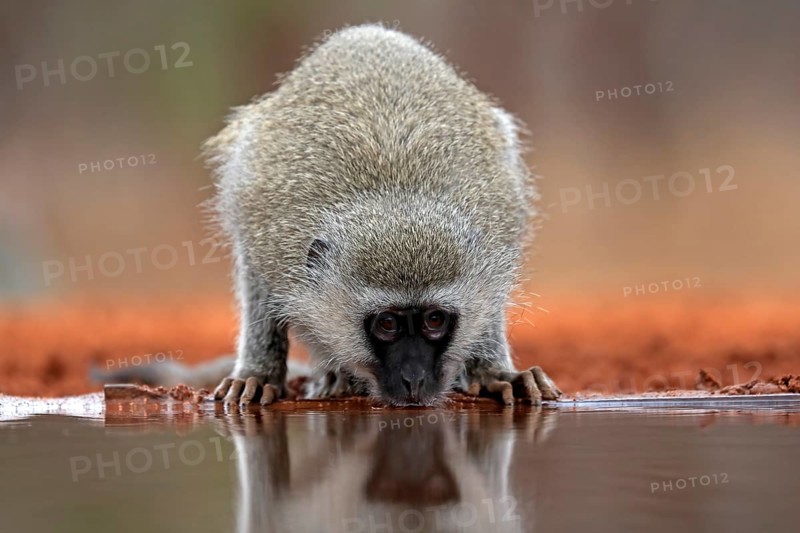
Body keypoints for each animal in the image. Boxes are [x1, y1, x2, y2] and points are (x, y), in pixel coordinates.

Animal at [96, 23, 562, 407]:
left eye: (434, 320)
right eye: (387, 324)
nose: (413, 381)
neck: (396, 197)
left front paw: (491, 372)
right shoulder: (269, 236)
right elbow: (258, 279)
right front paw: (261, 373)